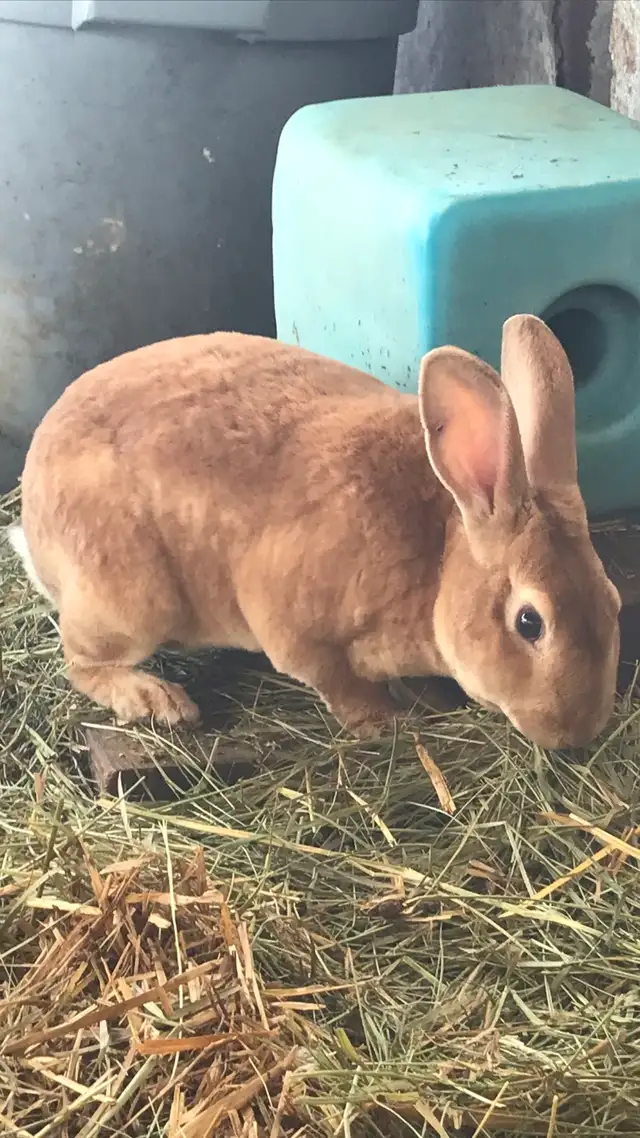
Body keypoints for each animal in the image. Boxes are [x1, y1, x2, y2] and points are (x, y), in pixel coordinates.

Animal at [9, 314, 620, 749]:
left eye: (613, 601)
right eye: (529, 622)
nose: (578, 733)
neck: (440, 562)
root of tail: (33, 527)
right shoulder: (293, 628)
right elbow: (337, 683)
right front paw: (387, 724)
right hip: (130, 600)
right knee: (80, 660)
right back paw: (157, 699)